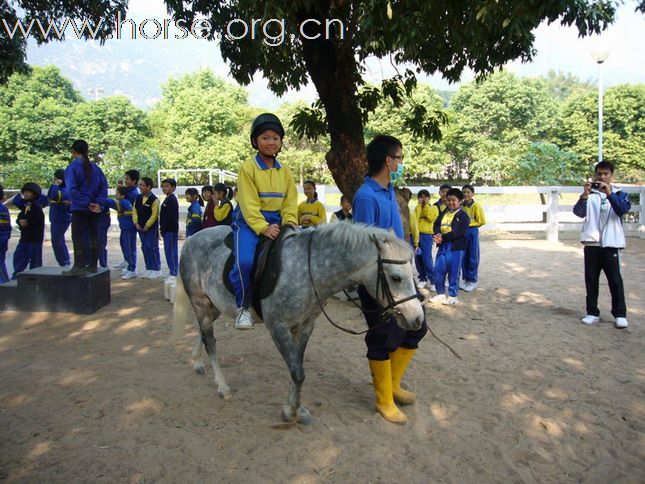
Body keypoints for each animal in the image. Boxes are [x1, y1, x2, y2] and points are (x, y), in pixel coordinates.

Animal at [171, 223, 426, 424]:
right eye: (396, 277)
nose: (417, 318)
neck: (309, 269)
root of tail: (193, 238)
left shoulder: (304, 327)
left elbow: (297, 368)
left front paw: (296, 408)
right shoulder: (279, 328)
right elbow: (297, 372)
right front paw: (290, 411)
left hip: (214, 306)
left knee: (202, 333)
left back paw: (196, 362)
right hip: (201, 304)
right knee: (210, 341)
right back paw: (222, 386)